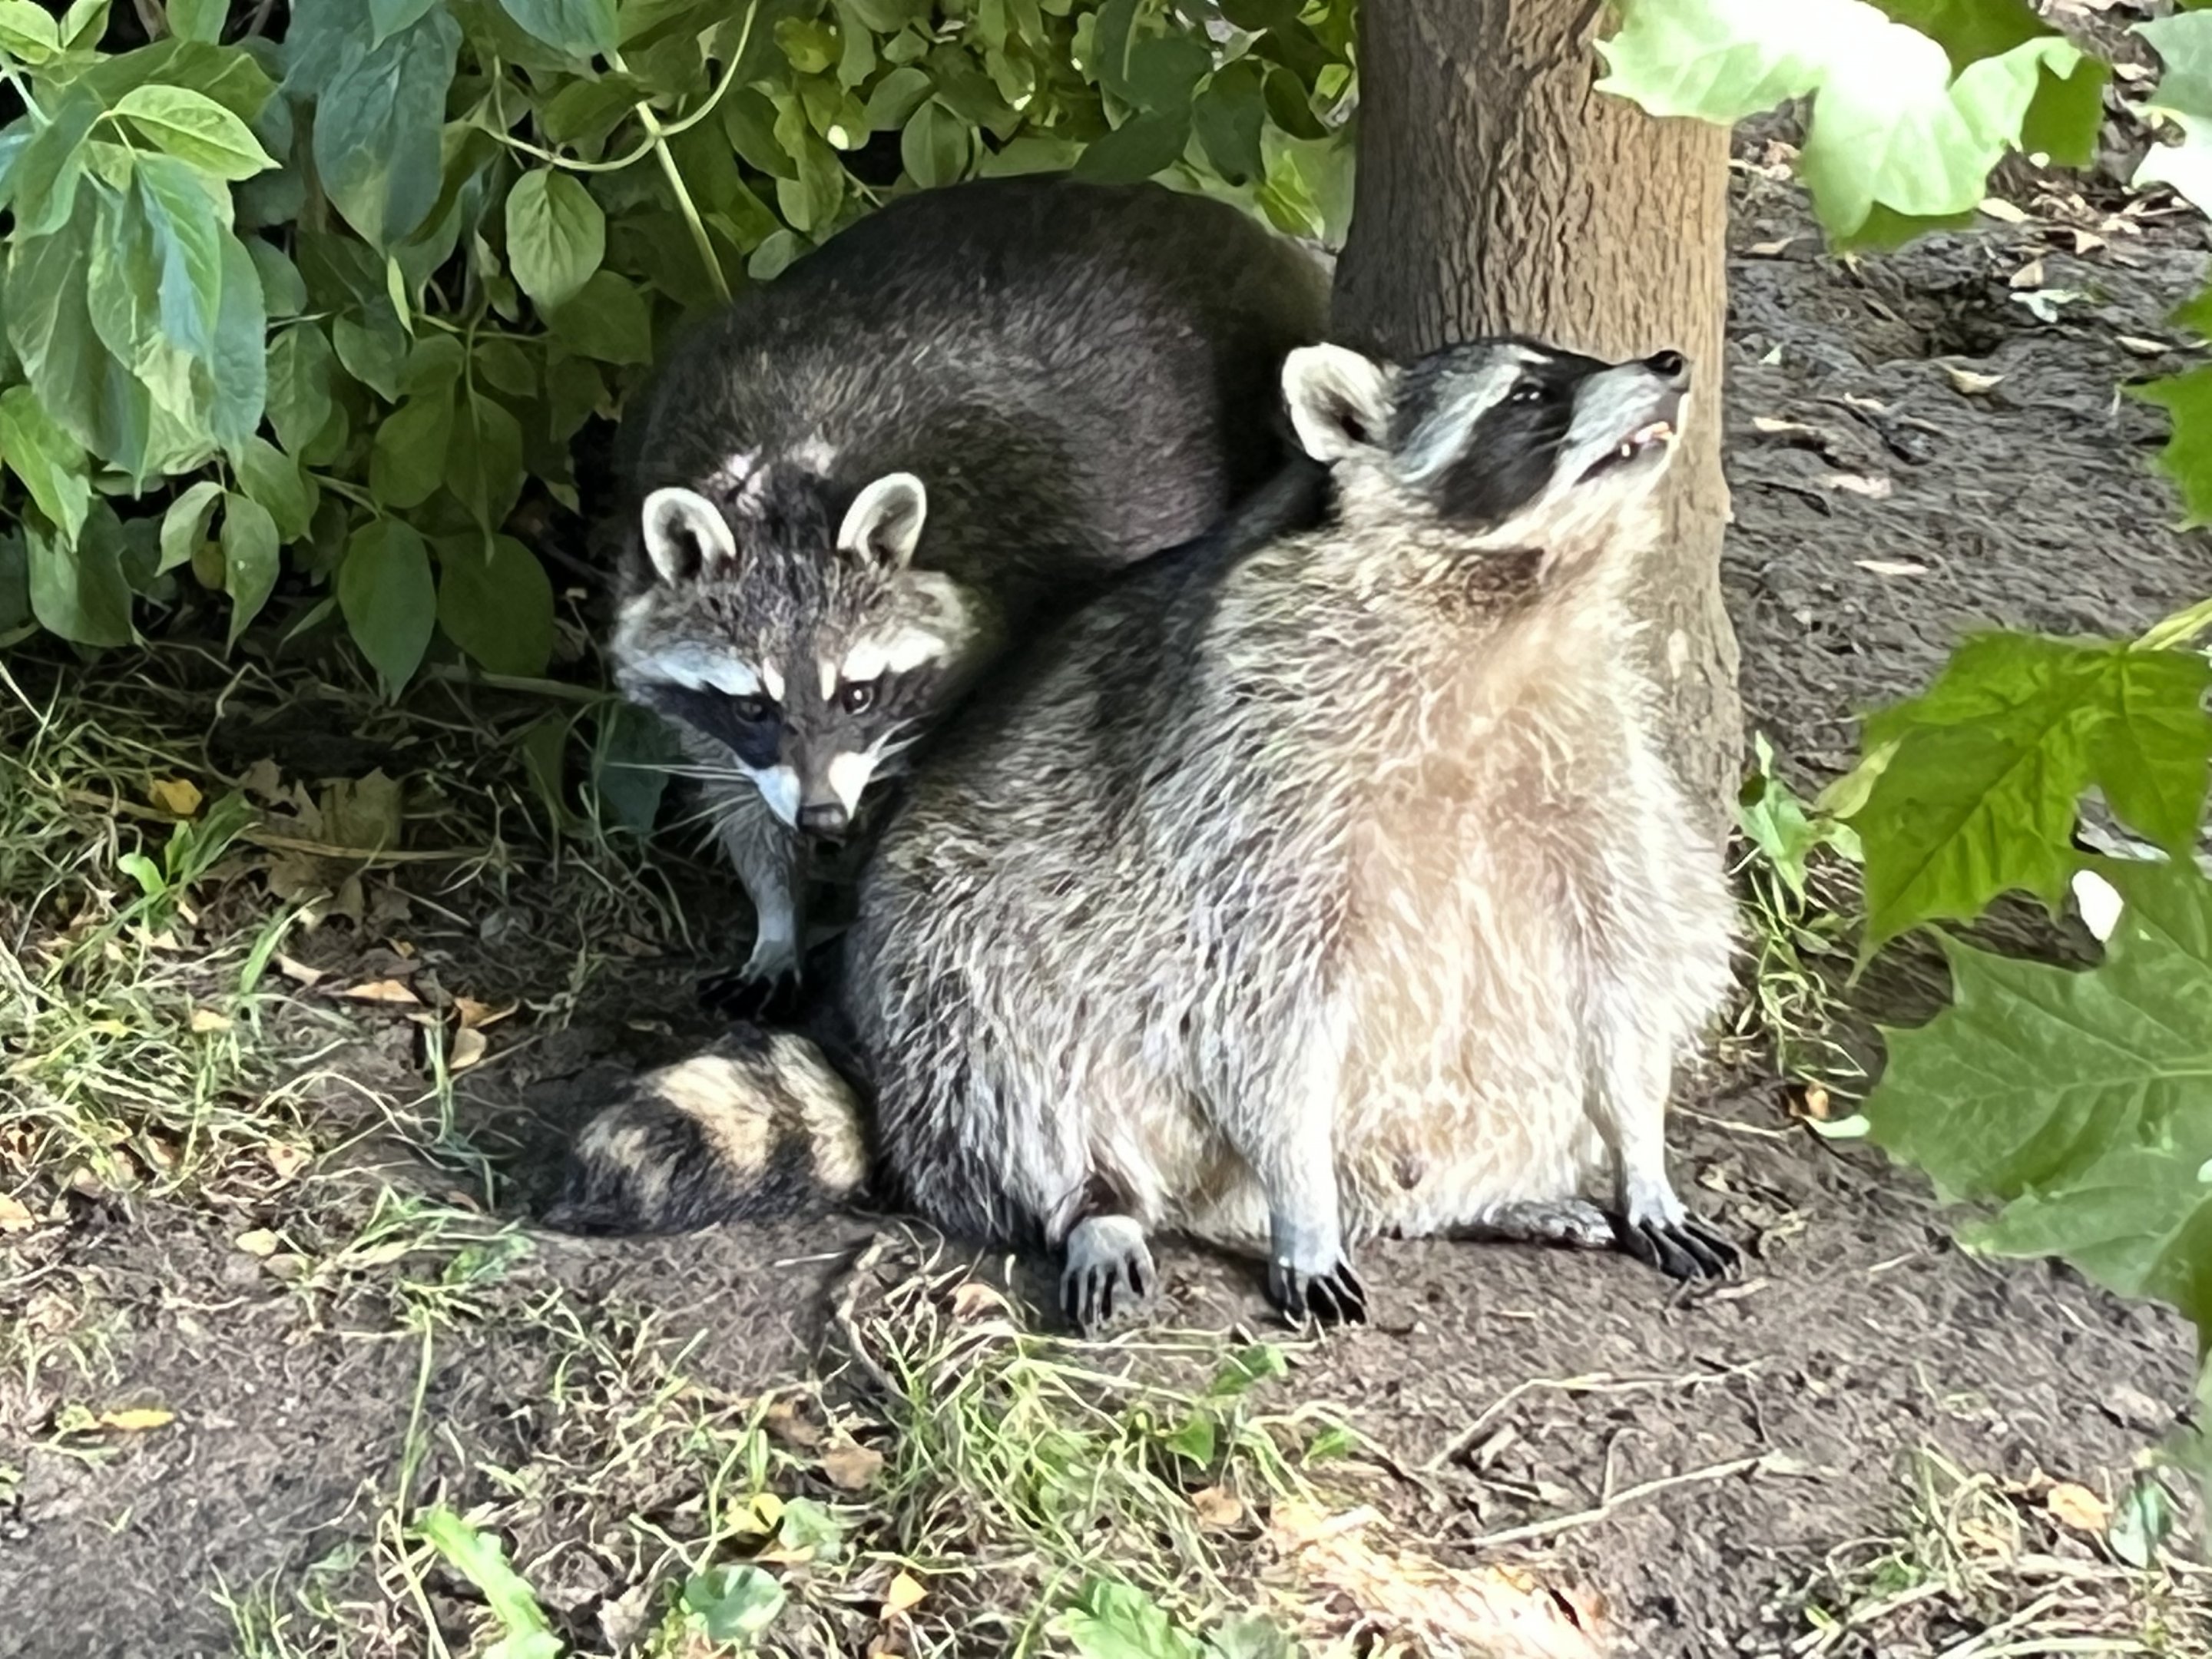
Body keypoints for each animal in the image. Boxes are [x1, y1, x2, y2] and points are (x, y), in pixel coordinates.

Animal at [558, 335, 1739, 1332]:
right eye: (1530, 395)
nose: (1668, 362)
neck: (1514, 610)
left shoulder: (1600, 765)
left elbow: (1628, 963)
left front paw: (1641, 1148)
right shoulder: (1248, 794)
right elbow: (1258, 1011)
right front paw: (1299, 1202)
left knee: (1663, 958)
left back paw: (1497, 1193)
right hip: (955, 940)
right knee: (1001, 1035)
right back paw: (1102, 1198)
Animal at [606, 175, 1331, 996]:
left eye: (858, 694)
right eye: (754, 706)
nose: (824, 819)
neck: (785, 474)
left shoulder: (1035, 552)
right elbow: (732, 785)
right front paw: (777, 914)